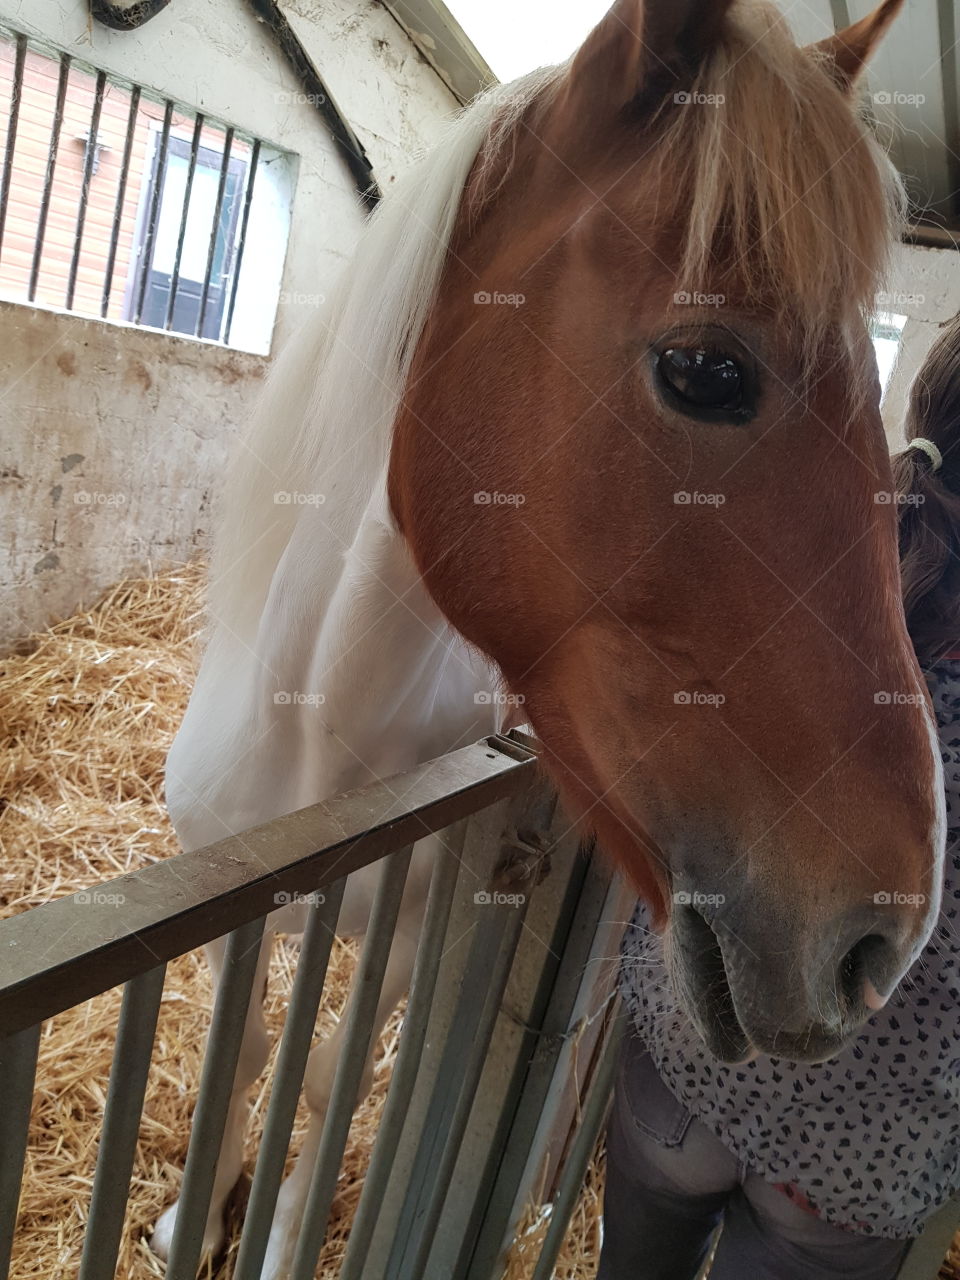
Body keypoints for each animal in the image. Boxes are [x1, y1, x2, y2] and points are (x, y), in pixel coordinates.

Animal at [151, 0, 945, 1274]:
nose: (887, 936)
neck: (327, 739)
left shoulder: (413, 939)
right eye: (706, 368)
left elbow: (325, 1076)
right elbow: (254, 1043)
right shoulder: (236, 904)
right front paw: (193, 1211)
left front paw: (273, 1232)